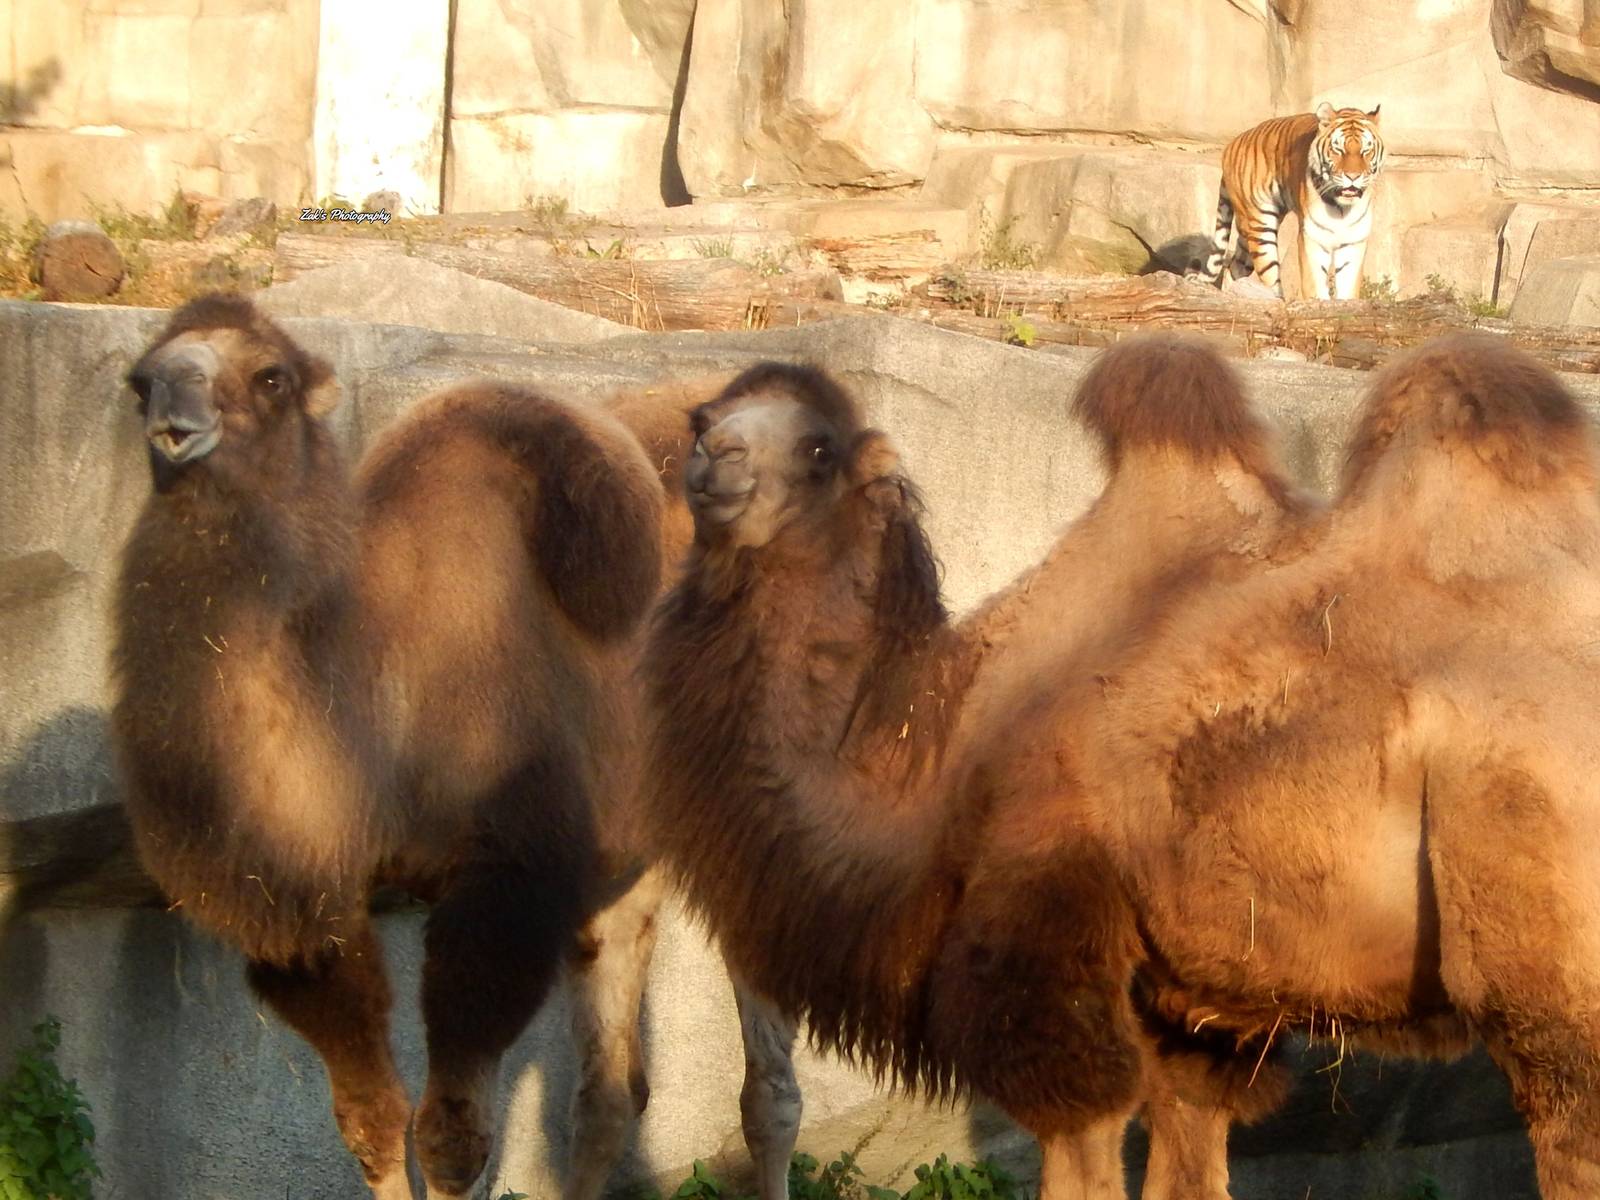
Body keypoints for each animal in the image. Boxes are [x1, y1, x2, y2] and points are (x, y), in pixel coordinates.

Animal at [109, 295, 803, 1200]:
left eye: (271, 377)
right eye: (139, 380)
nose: (173, 420)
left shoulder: (502, 884)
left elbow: (452, 1135)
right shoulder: (319, 910)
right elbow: (369, 1120)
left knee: (770, 1092)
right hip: (626, 853)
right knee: (610, 1091)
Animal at [641, 336, 1600, 1200]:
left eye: (817, 449)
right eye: (705, 416)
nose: (713, 454)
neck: (948, 749)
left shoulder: (1044, 921)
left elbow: (1082, 1140)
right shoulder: (1199, 1001)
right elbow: (1188, 1153)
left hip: (1549, 957)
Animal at [1194, 102, 1385, 301]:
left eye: (1366, 151)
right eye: (1338, 150)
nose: (1353, 176)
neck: (1342, 208)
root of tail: (1231, 145)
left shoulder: (1353, 241)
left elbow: (1348, 288)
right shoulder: (1313, 238)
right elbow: (1315, 284)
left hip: (1247, 234)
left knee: (1234, 268)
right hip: (1260, 226)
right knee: (1269, 276)